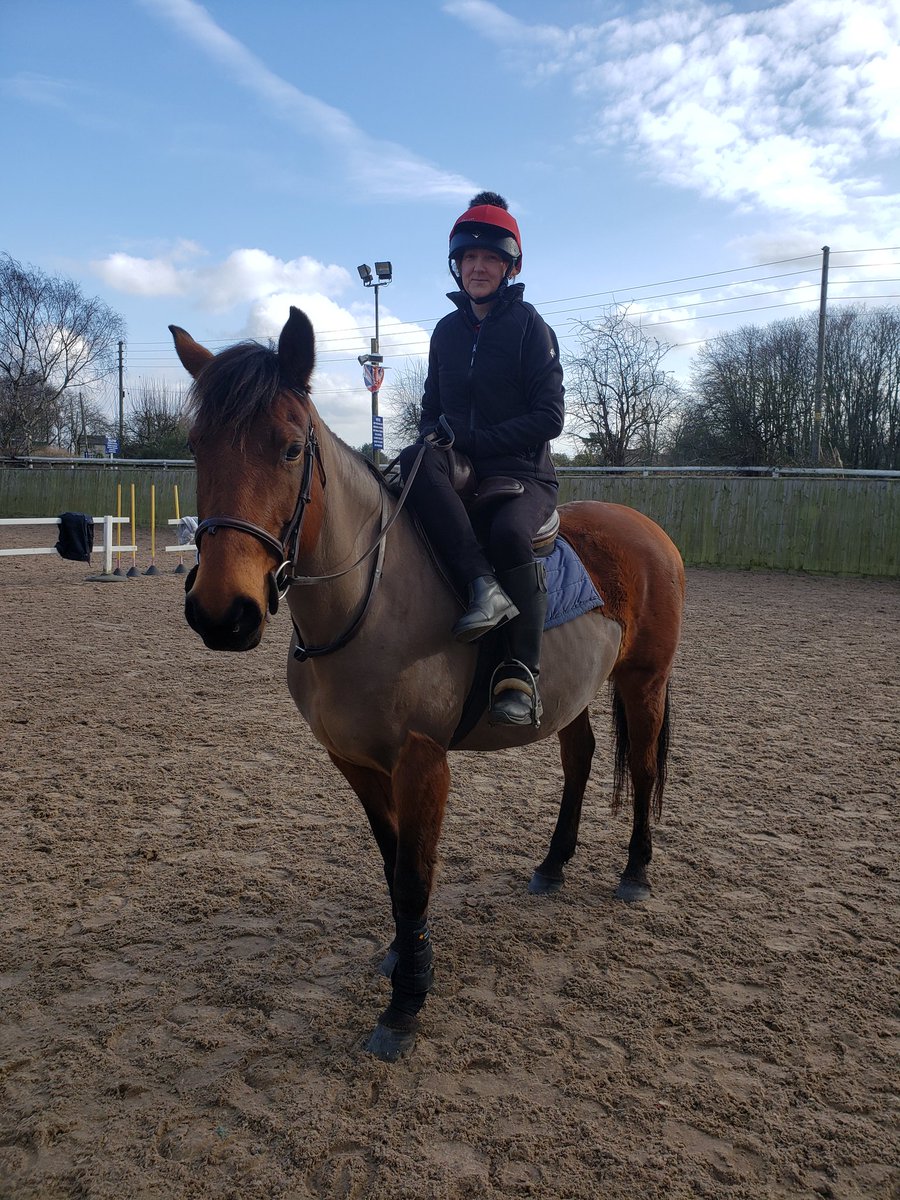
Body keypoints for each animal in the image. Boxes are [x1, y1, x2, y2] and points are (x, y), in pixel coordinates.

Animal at [172, 307, 686, 1060]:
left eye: (291, 449)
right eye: (197, 446)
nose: (221, 612)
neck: (372, 597)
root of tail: (648, 529)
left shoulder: (422, 763)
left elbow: (415, 876)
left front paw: (406, 1001)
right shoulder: (354, 761)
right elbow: (391, 864)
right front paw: (401, 954)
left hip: (644, 681)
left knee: (644, 769)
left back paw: (637, 872)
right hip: (573, 694)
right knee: (581, 760)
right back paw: (554, 863)